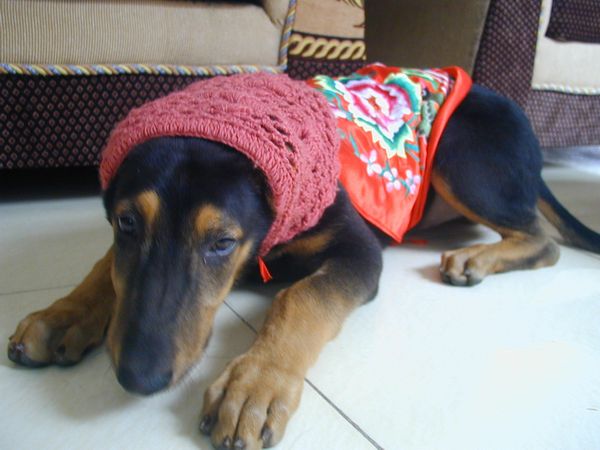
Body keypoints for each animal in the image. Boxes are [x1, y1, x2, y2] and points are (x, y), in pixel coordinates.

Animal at [8, 65, 600, 450]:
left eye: (222, 243)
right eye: (127, 222)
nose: (138, 377)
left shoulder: (358, 251)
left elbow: (302, 298)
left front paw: (256, 384)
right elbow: (106, 268)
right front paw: (62, 315)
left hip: (460, 154)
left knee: (543, 238)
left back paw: (475, 258)